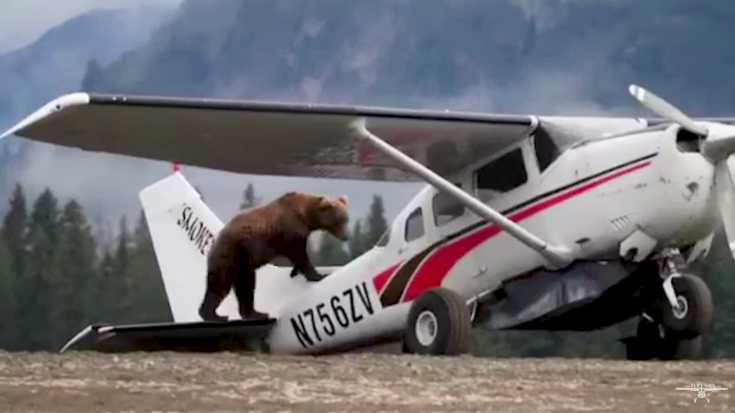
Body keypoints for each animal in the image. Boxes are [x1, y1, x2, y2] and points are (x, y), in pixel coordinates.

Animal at [198, 190, 350, 322]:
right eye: (340, 219)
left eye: (347, 218)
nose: (346, 236)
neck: (305, 216)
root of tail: (216, 239)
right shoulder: (290, 232)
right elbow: (300, 255)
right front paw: (319, 275)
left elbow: (299, 257)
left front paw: (295, 272)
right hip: (231, 253)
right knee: (221, 283)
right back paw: (215, 315)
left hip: (242, 261)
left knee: (245, 285)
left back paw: (255, 313)